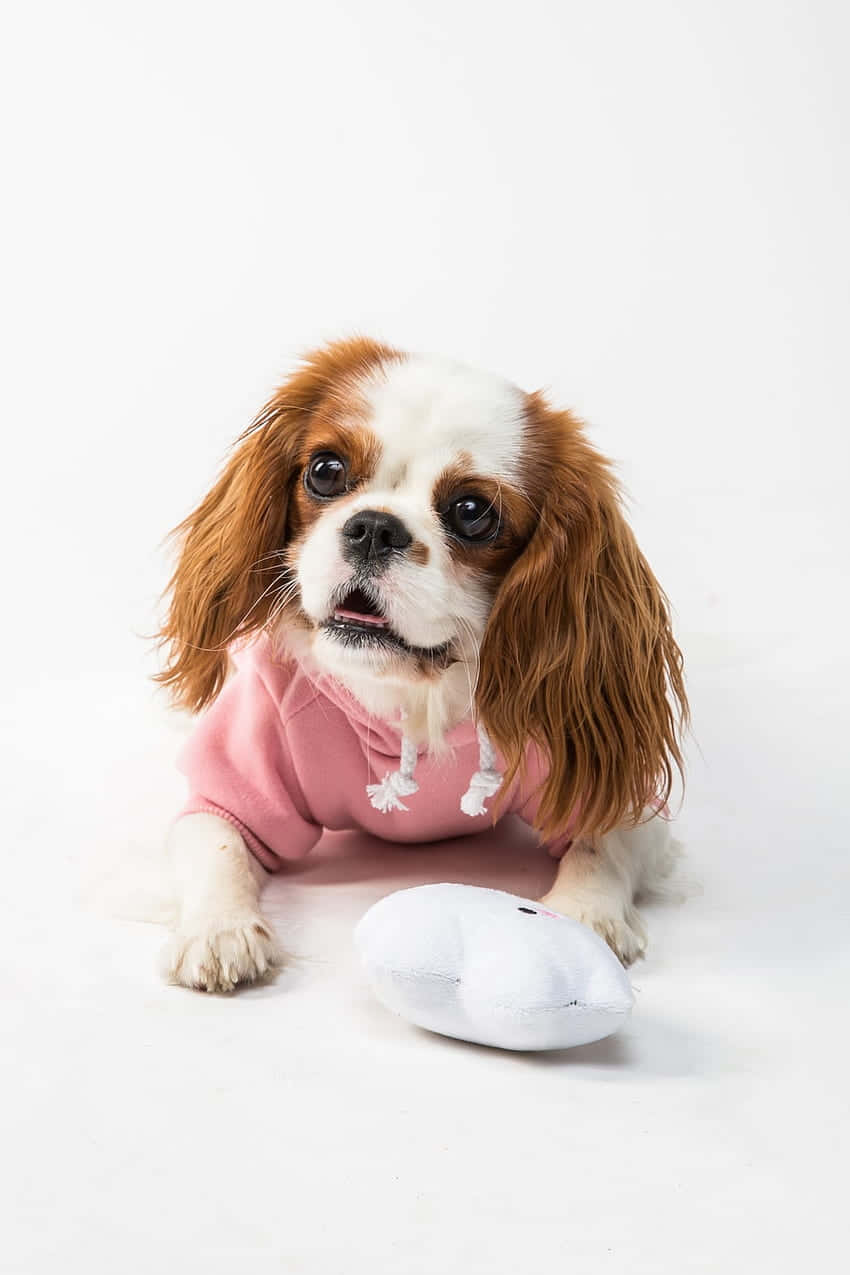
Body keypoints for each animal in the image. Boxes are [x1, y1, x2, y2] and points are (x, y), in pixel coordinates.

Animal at [156, 341, 688, 994]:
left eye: (472, 511)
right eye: (325, 470)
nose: (374, 527)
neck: (415, 696)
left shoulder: (609, 783)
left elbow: (602, 845)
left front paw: (585, 917)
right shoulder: (241, 772)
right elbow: (219, 841)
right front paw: (219, 929)